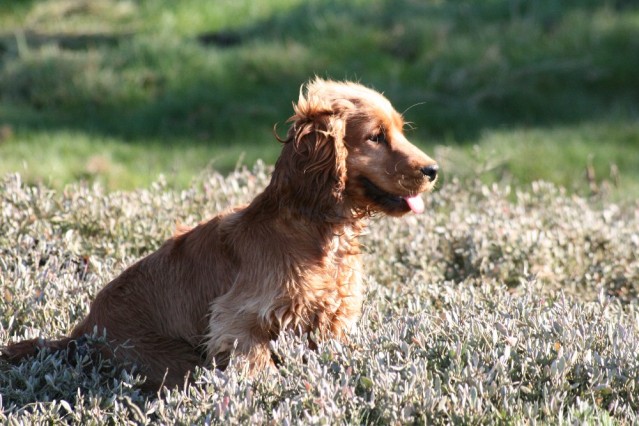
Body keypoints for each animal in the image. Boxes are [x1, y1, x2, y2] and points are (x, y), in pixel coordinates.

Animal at [0, 78, 440, 392]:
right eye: (375, 136)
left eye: (400, 131)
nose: (433, 169)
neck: (317, 233)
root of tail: (82, 333)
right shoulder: (240, 322)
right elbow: (259, 369)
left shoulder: (330, 321)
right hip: (175, 361)